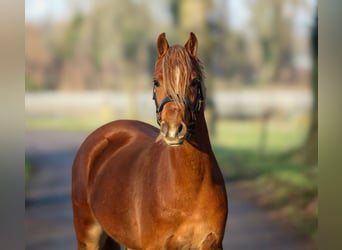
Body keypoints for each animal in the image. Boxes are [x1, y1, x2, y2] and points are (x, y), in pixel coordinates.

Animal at [71, 33, 227, 250]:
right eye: (156, 82)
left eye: (195, 81)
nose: (174, 129)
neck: (189, 189)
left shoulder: (212, 244)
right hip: (88, 237)